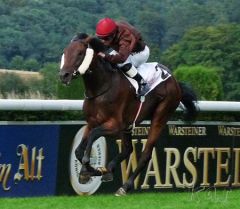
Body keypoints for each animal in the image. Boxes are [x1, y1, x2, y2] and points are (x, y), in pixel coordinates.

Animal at [59, 33, 197, 196]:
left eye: (80, 53)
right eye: (65, 52)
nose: (64, 75)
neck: (101, 88)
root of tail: (174, 81)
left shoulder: (115, 125)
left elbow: (94, 134)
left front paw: (87, 170)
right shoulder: (92, 122)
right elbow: (79, 150)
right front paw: (93, 171)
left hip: (161, 115)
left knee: (146, 153)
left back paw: (125, 186)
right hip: (129, 125)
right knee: (127, 149)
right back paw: (108, 170)